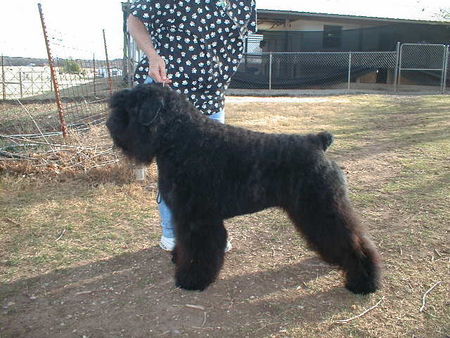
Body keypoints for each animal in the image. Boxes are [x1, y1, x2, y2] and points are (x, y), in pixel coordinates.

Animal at [107, 84, 382, 294]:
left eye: (129, 109)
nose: (110, 124)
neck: (181, 138)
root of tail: (318, 141)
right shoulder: (187, 217)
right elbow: (186, 243)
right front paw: (178, 257)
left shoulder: (198, 218)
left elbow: (198, 249)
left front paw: (191, 279)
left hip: (323, 207)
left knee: (354, 241)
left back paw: (364, 282)